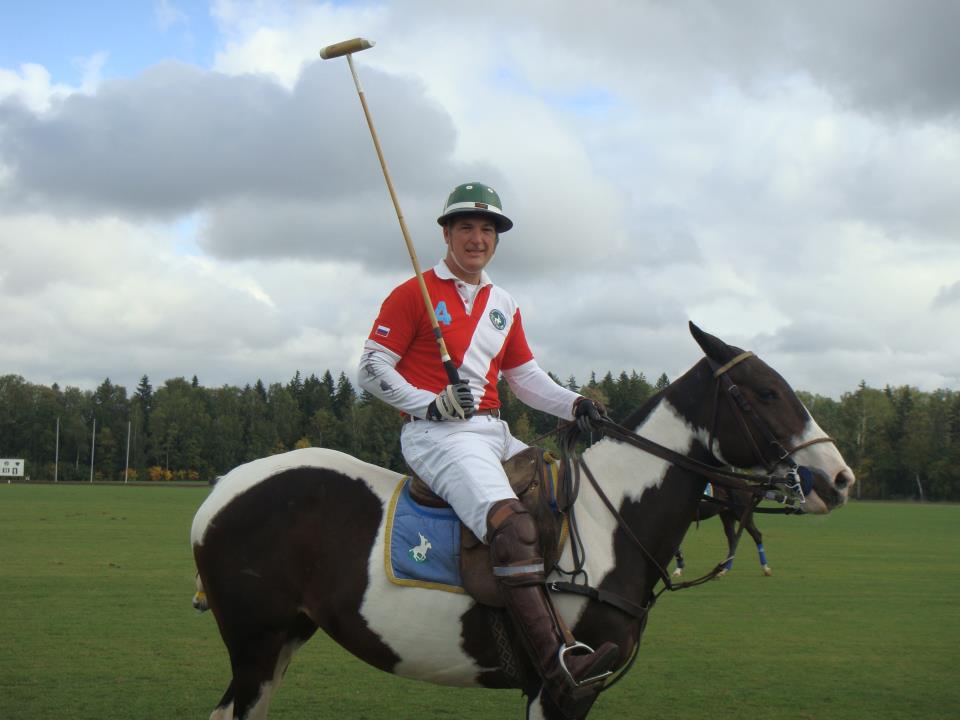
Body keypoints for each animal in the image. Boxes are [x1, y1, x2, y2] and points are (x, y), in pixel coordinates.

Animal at [191, 323, 854, 720]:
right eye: (765, 393)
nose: (840, 479)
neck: (612, 519)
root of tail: (222, 489)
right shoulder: (563, 686)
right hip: (254, 641)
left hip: (284, 637)